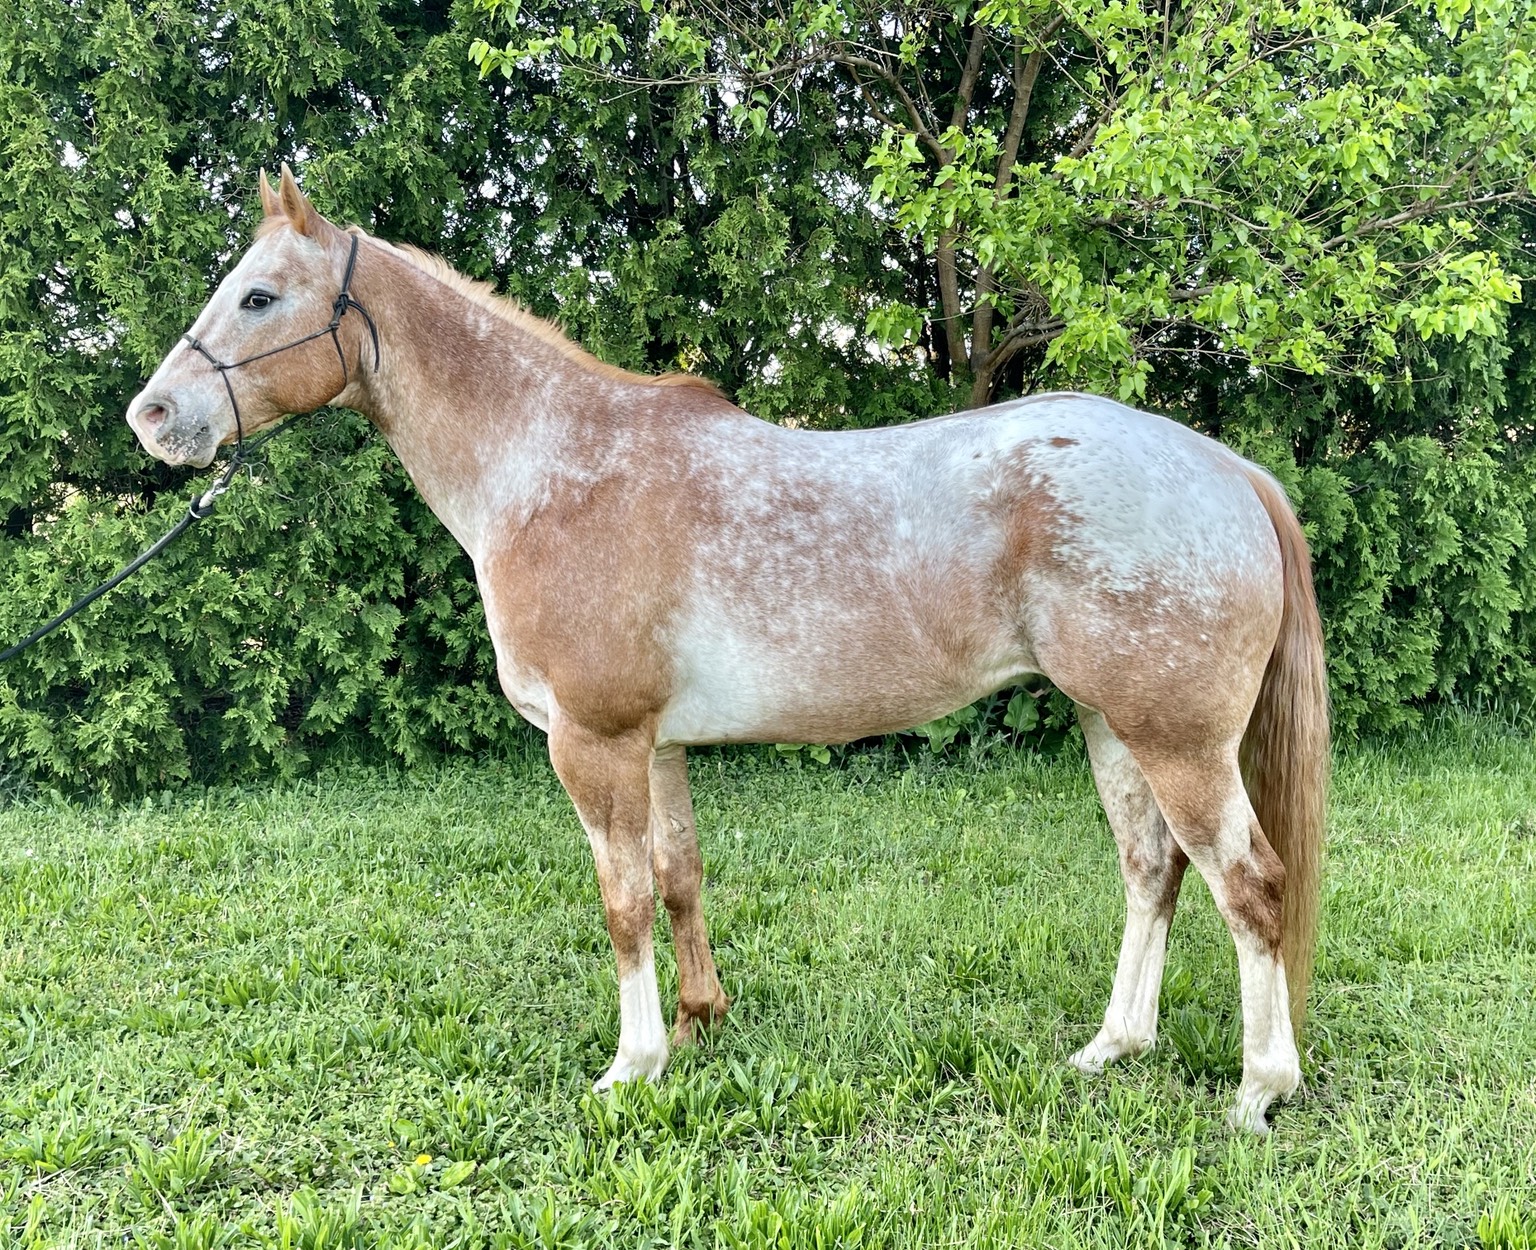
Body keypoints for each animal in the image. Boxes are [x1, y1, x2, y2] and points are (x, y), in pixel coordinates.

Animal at [126, 166, 1327, 1134]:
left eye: (259, 294)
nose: (154, 416)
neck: (553, 468)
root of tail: (1228, 469)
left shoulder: (592, 742)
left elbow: (621, 902)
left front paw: (633, 1063)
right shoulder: (654, 744)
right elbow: (678, 877)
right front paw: (702, 1021)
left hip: (1178, 741)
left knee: (1250, 886)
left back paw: (1259, 1089)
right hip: (1111, 725)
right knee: (1153, 873)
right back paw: (1113, 1045)